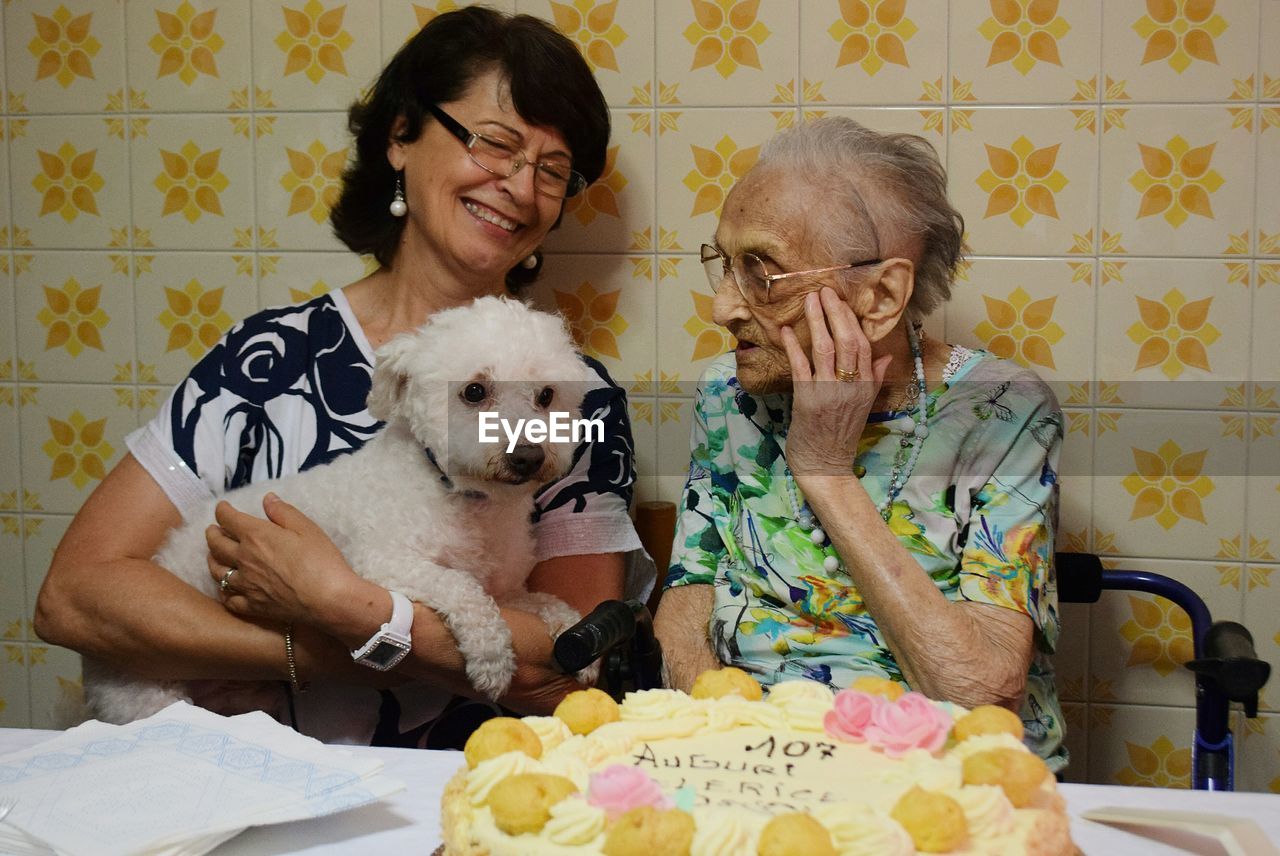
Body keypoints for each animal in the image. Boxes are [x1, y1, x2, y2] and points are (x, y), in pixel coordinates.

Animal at [87, 296, 596, 726]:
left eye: (546, 395)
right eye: (473, 391)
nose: (528, 456)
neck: (461, 495)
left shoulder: (508, 591)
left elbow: (545, 603)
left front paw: (576, 641)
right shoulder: (382, 563)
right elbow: (462, 588)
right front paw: (491, 656)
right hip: (149, 697)